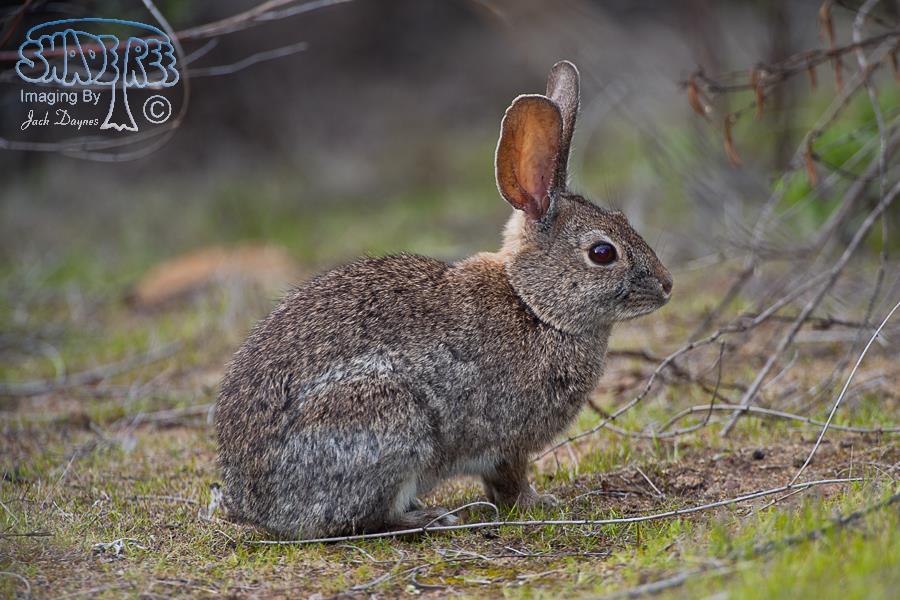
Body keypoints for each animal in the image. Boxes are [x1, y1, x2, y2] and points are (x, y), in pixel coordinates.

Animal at [215, 60, 673, 539]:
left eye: (622, 219)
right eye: (603, 253)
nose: (667, 285)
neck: (534, 306)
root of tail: (253, 503)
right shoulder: (507, 441)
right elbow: (509, 480)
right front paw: (537, 503)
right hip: (389, 425)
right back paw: (431, 516)